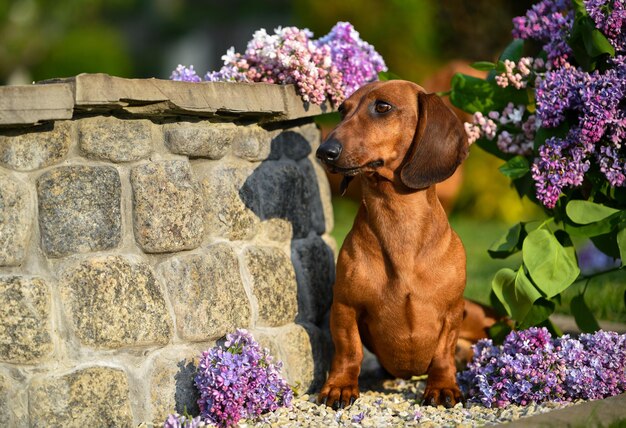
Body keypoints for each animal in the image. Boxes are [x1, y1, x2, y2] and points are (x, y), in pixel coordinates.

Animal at [314, 78, 494, 410]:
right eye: (342, 110)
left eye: (383, 106)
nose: (324, 152)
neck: (399, 225)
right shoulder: (345, 306)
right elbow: (348, 350)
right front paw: (340, 386)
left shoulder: (453, 311)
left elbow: (443, 353)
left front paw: (443, 386)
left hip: (478, 314)